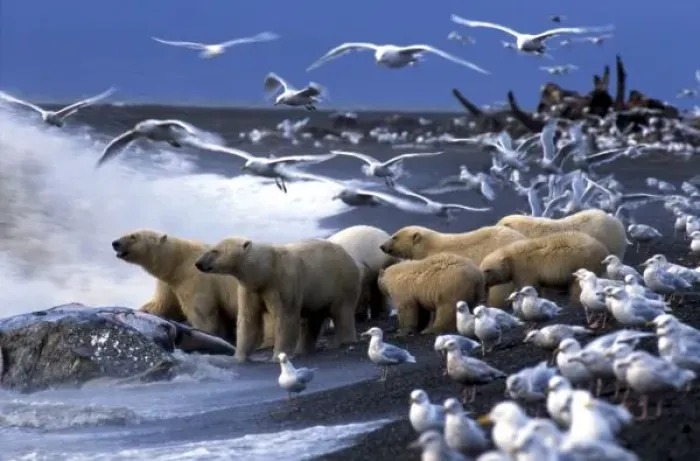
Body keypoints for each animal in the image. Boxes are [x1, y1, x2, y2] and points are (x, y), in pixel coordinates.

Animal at [111, 229, 241, 344]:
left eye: (134, 236)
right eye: (128, 232)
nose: (115, 243)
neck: (179, 262)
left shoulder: (195, 279)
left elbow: (202, 313)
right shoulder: (170, 283)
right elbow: (164, 305)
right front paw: (144, 309)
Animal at [194, 237, 361, 362]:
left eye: (214, 250)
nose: (198, 263)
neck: (265, 270)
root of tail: (350, 257)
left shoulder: (283, 283)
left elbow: (285, 317)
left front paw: (277, 356)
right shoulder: (250, 290)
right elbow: (248, 319)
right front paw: (239, 357)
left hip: (342, 283)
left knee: (341, 312)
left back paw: (341, 342)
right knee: (312, 319)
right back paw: (303, 350)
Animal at [478, 231, 610, 303]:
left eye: (487, 270)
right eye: (481, 268)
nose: (483, 283)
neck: (511, 256)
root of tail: (603, 250)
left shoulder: (525, 268)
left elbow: (528, 285)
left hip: (582, 262)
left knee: (577, 286)